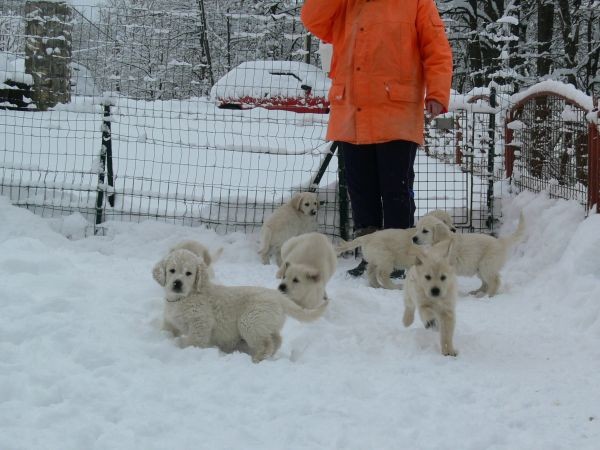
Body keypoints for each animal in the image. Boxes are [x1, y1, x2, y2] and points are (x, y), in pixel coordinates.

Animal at [152, 248, 326, 364]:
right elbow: (167, 330)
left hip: (250, 321)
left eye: (189, 273)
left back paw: (257, 358)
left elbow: (194, 341)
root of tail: (278, 295)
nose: (177, 283)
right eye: (172, 270)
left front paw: (185, 349)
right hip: (266, 322)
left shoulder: (200, 323)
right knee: (277, 338)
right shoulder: (171, 321)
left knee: (266, 343)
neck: (183, 298)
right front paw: (163, 339)